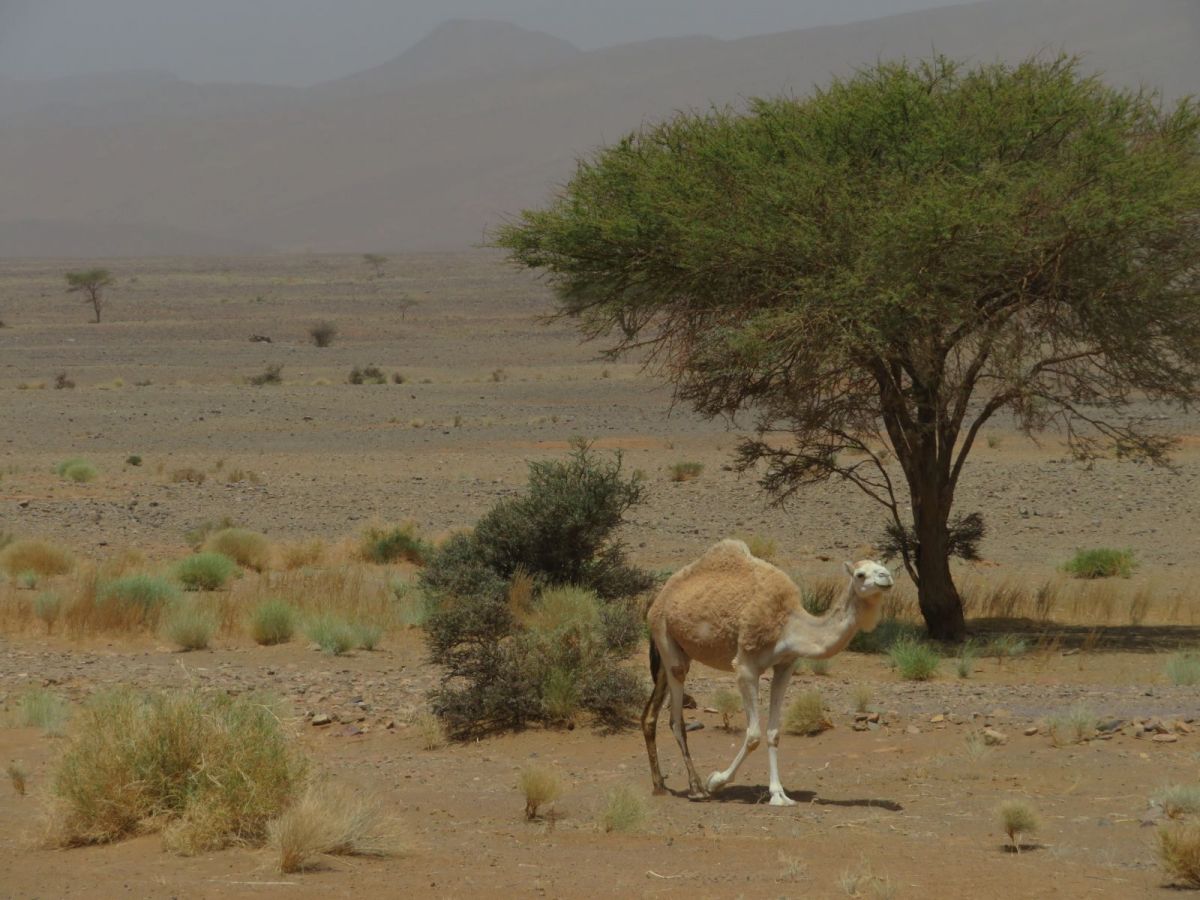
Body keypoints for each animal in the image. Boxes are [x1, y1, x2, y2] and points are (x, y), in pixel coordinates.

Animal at [641, 539, 893, 805]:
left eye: (882, 566)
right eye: (860, 574)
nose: (886, 577)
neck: (789, 624)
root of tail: (657, 600)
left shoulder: (785, 665)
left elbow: (773, 733)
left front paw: (779, 794)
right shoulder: (745, 666)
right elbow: (753, 735)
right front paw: (715, 781)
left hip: (674, 652)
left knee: (650, 715)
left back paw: (659, 785)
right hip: (665, 636)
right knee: (675, 719)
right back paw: (697, 787)